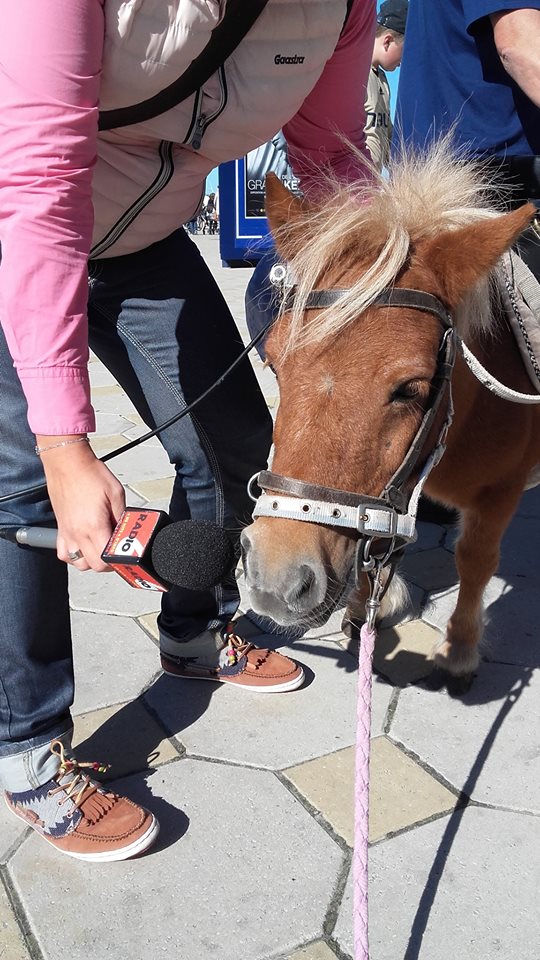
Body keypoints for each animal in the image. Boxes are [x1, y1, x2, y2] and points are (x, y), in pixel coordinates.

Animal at [240, 144, 540, 688]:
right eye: (272, 363)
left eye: (411, 389)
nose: (275, 578)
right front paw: (364, 606)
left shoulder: (502, 488)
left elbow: (476, 559)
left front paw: (460, 648)